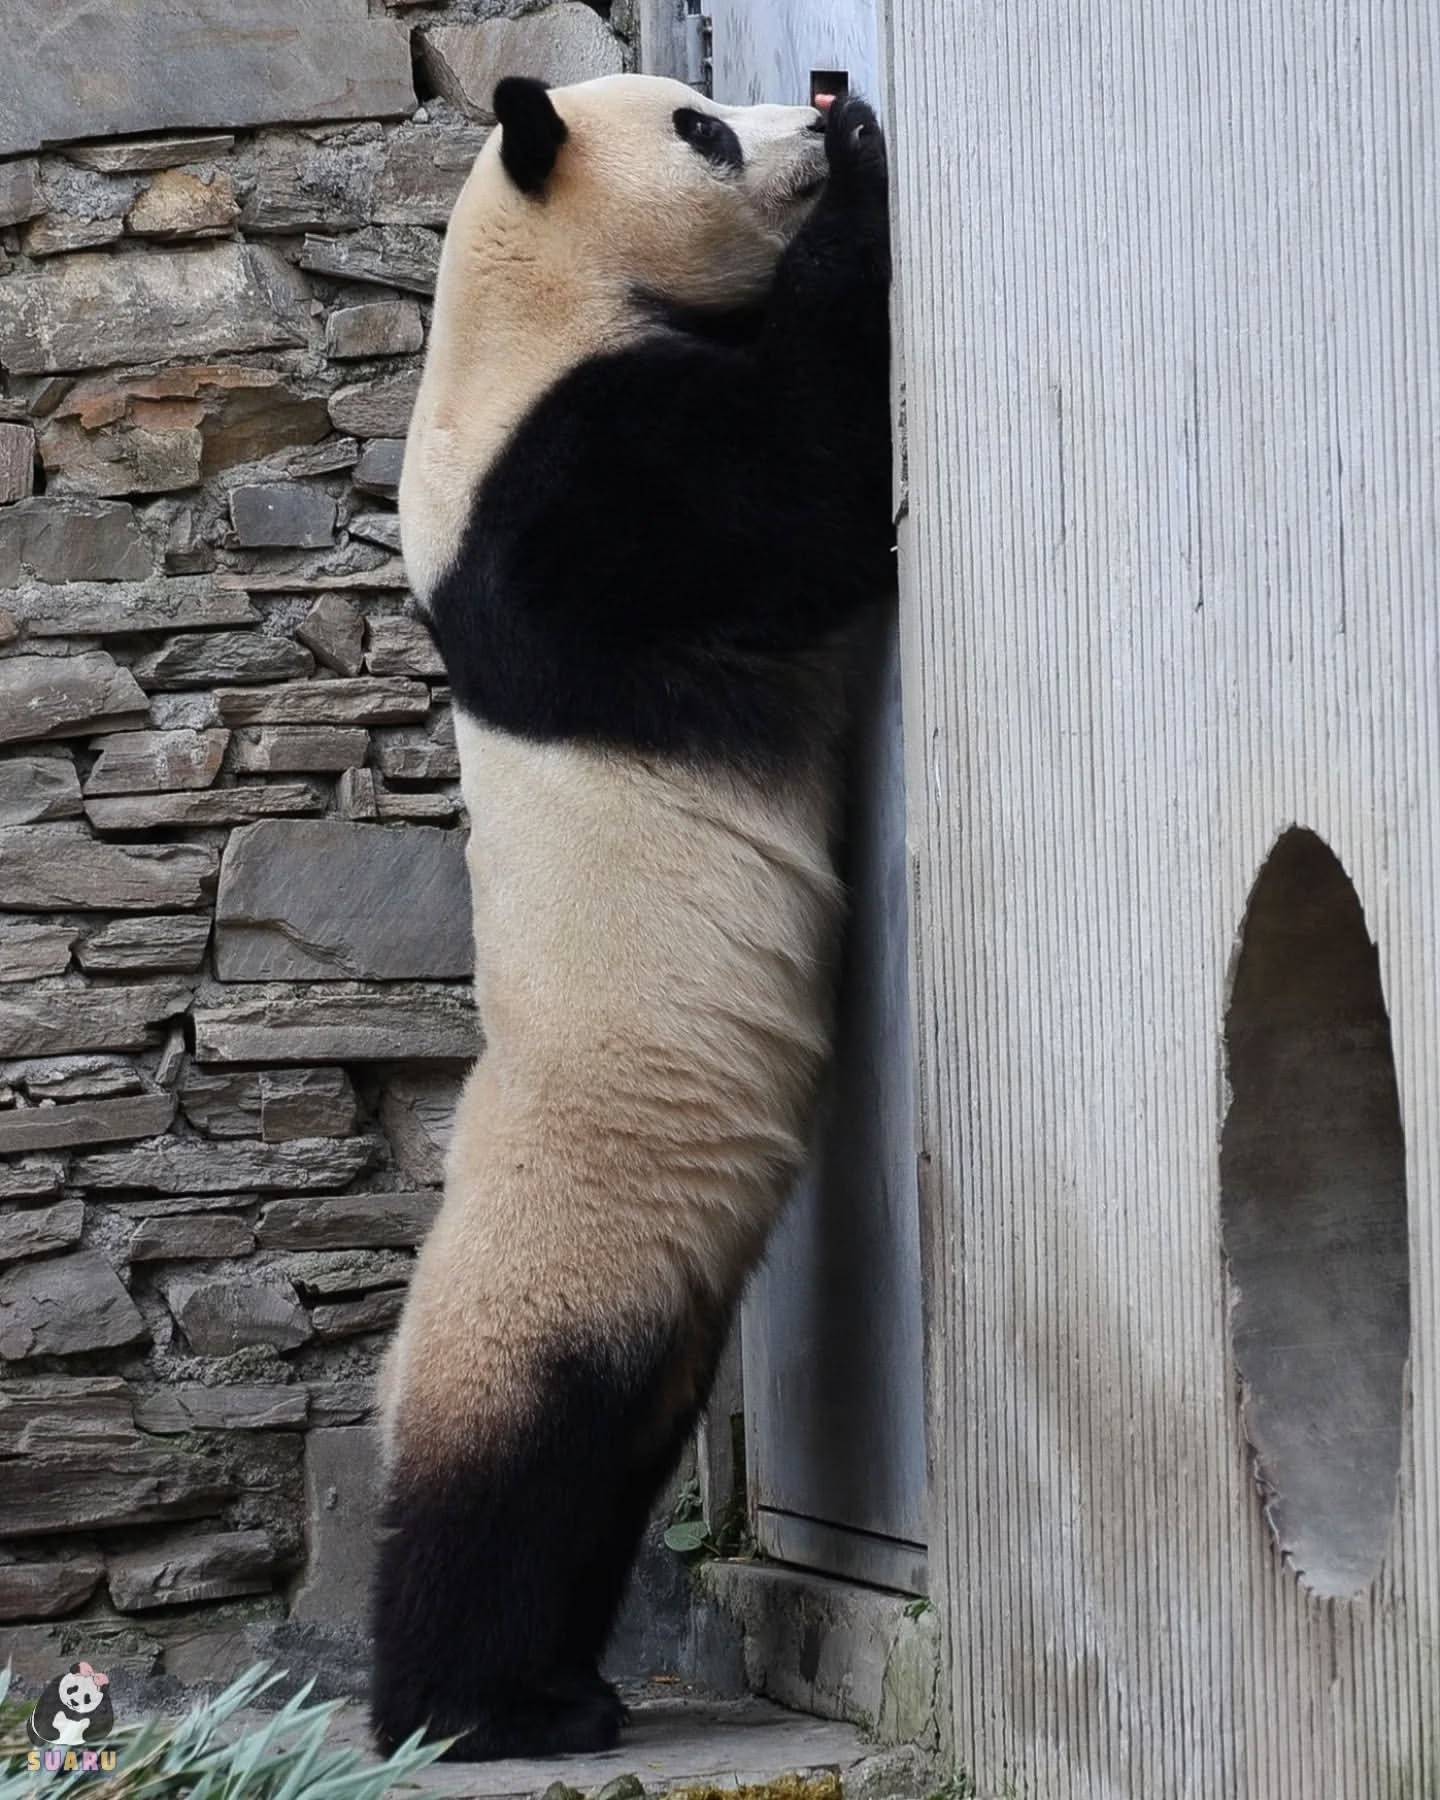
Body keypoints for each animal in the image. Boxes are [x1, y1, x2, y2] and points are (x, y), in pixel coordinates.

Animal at [374, 70, 889, 1756]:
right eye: (704, 132)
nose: (815, 97)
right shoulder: (573, 491)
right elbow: (799, 484)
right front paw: (862, 173)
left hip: (663, 1321)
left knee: (608, 1477)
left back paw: (564, 1686)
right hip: (559, 1258)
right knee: (506, 1480)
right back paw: (467, 1712)